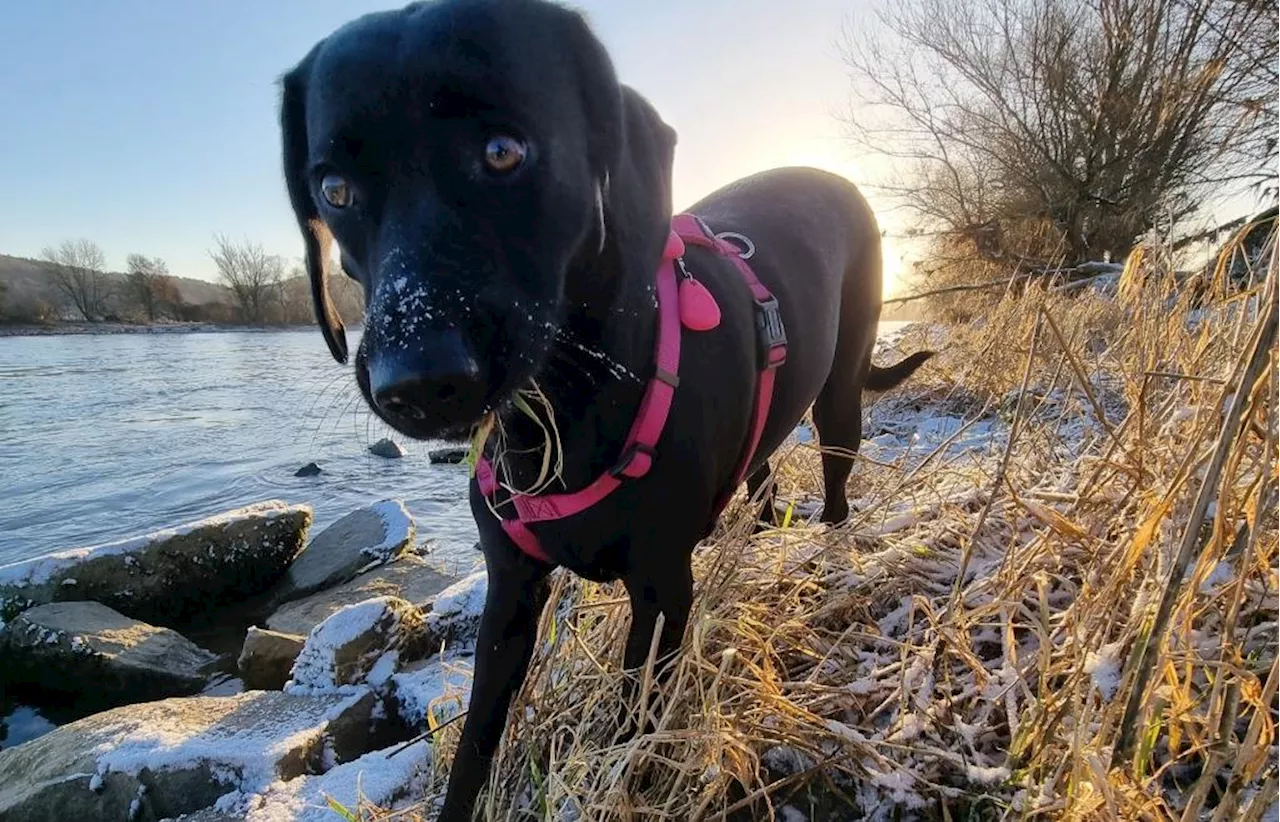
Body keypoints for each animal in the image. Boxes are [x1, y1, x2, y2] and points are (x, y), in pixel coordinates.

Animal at [280, 0, 931, 814]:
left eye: (503, 151)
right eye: (334, 191)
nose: (418, 381)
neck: (560, 412)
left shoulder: (661, 594)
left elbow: (631, 725)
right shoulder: (509, 595)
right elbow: (474, 748)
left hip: (841, 394)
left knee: (838, 482)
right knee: (764, 478)